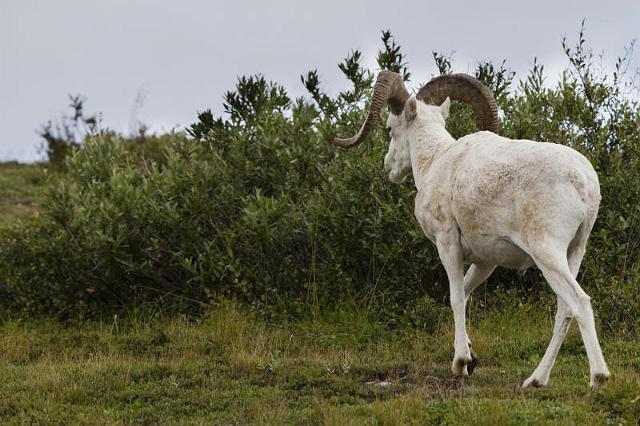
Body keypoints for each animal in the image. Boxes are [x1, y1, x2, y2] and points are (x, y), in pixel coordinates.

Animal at [336, 70, 608, 390]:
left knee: (579, 302)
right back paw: (535, 380)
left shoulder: (447, 243)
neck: (435, 161)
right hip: (575, 251)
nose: (389, 167)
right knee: (564, 310)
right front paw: (471, 356)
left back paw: (598, 378)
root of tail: (584, 182)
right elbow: (464, 294)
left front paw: (461, 364)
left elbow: (455, 297)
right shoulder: (486, 261)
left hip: (547, 253)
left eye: (390, 128)